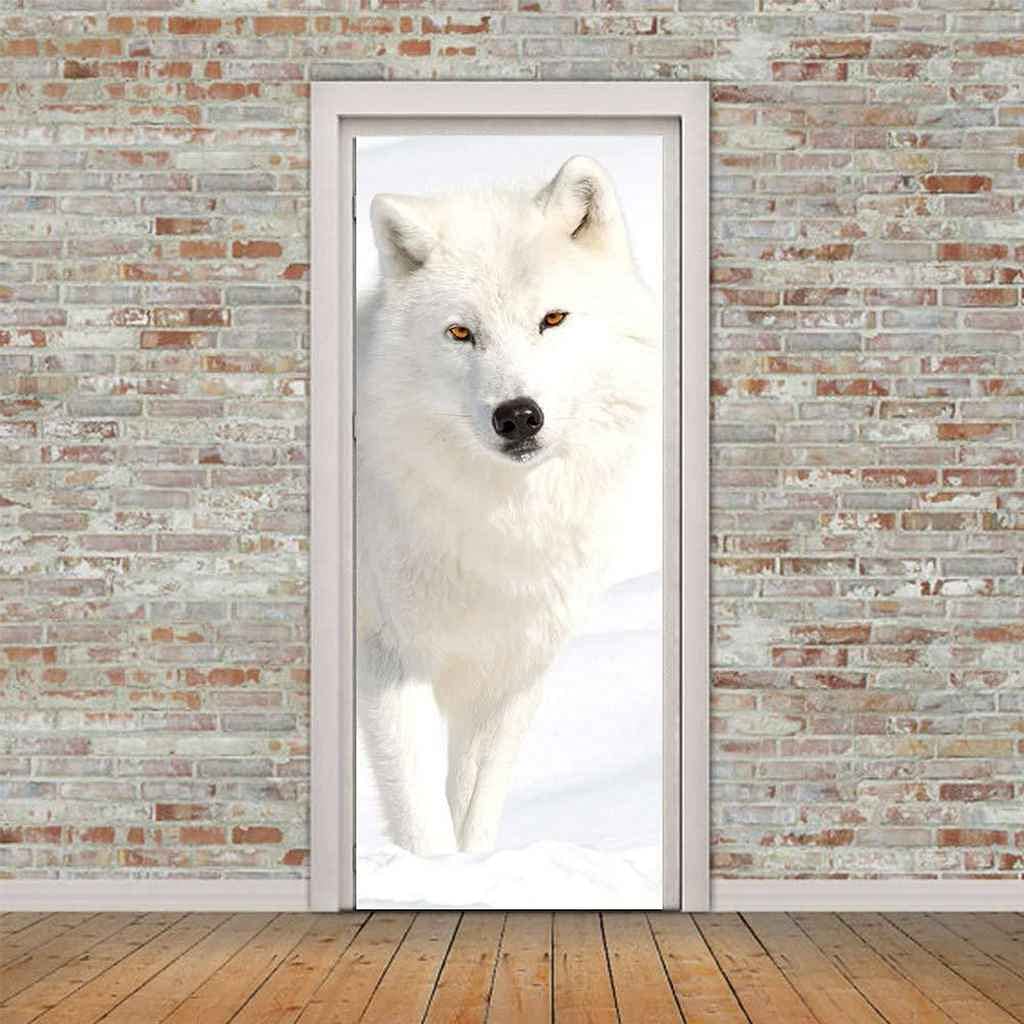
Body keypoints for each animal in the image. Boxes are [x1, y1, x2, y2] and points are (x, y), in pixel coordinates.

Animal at [356, 155, 660, 856]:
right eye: (461, 332)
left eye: (552, 319)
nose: (517, 416)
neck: (498, 526)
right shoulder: (388, 659)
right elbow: (424, 825)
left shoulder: (510, 672)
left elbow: (473, 817)